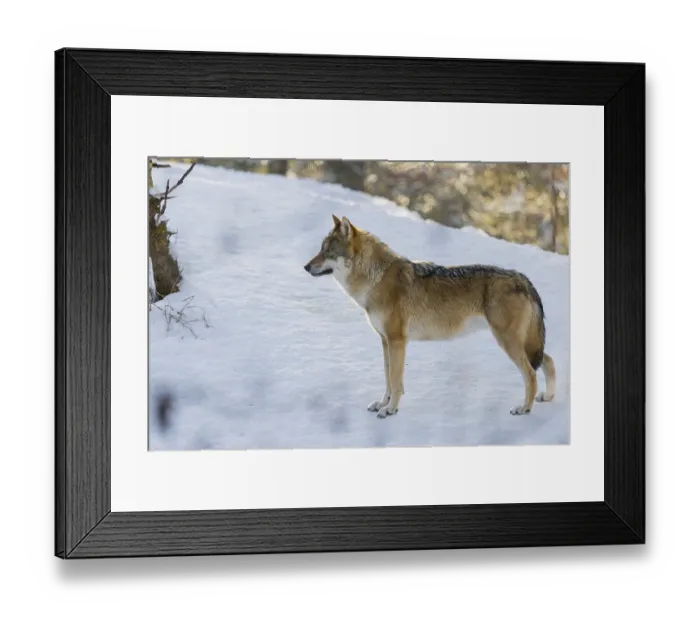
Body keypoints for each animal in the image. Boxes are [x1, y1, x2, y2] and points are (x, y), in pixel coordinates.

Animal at [304, 215, 556, 419]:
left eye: (327, 252)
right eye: (320, 249)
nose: (305, 267)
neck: (376, 279)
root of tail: (523, 279)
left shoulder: (397, 342)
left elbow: (394, 380)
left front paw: (390, 410)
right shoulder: (385, 342)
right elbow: (388, 379)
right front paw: (383, 404)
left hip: (508, 342)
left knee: (531, 375)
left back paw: (524, 409)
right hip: (523, 344)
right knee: (549, 360)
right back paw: (548, 397)